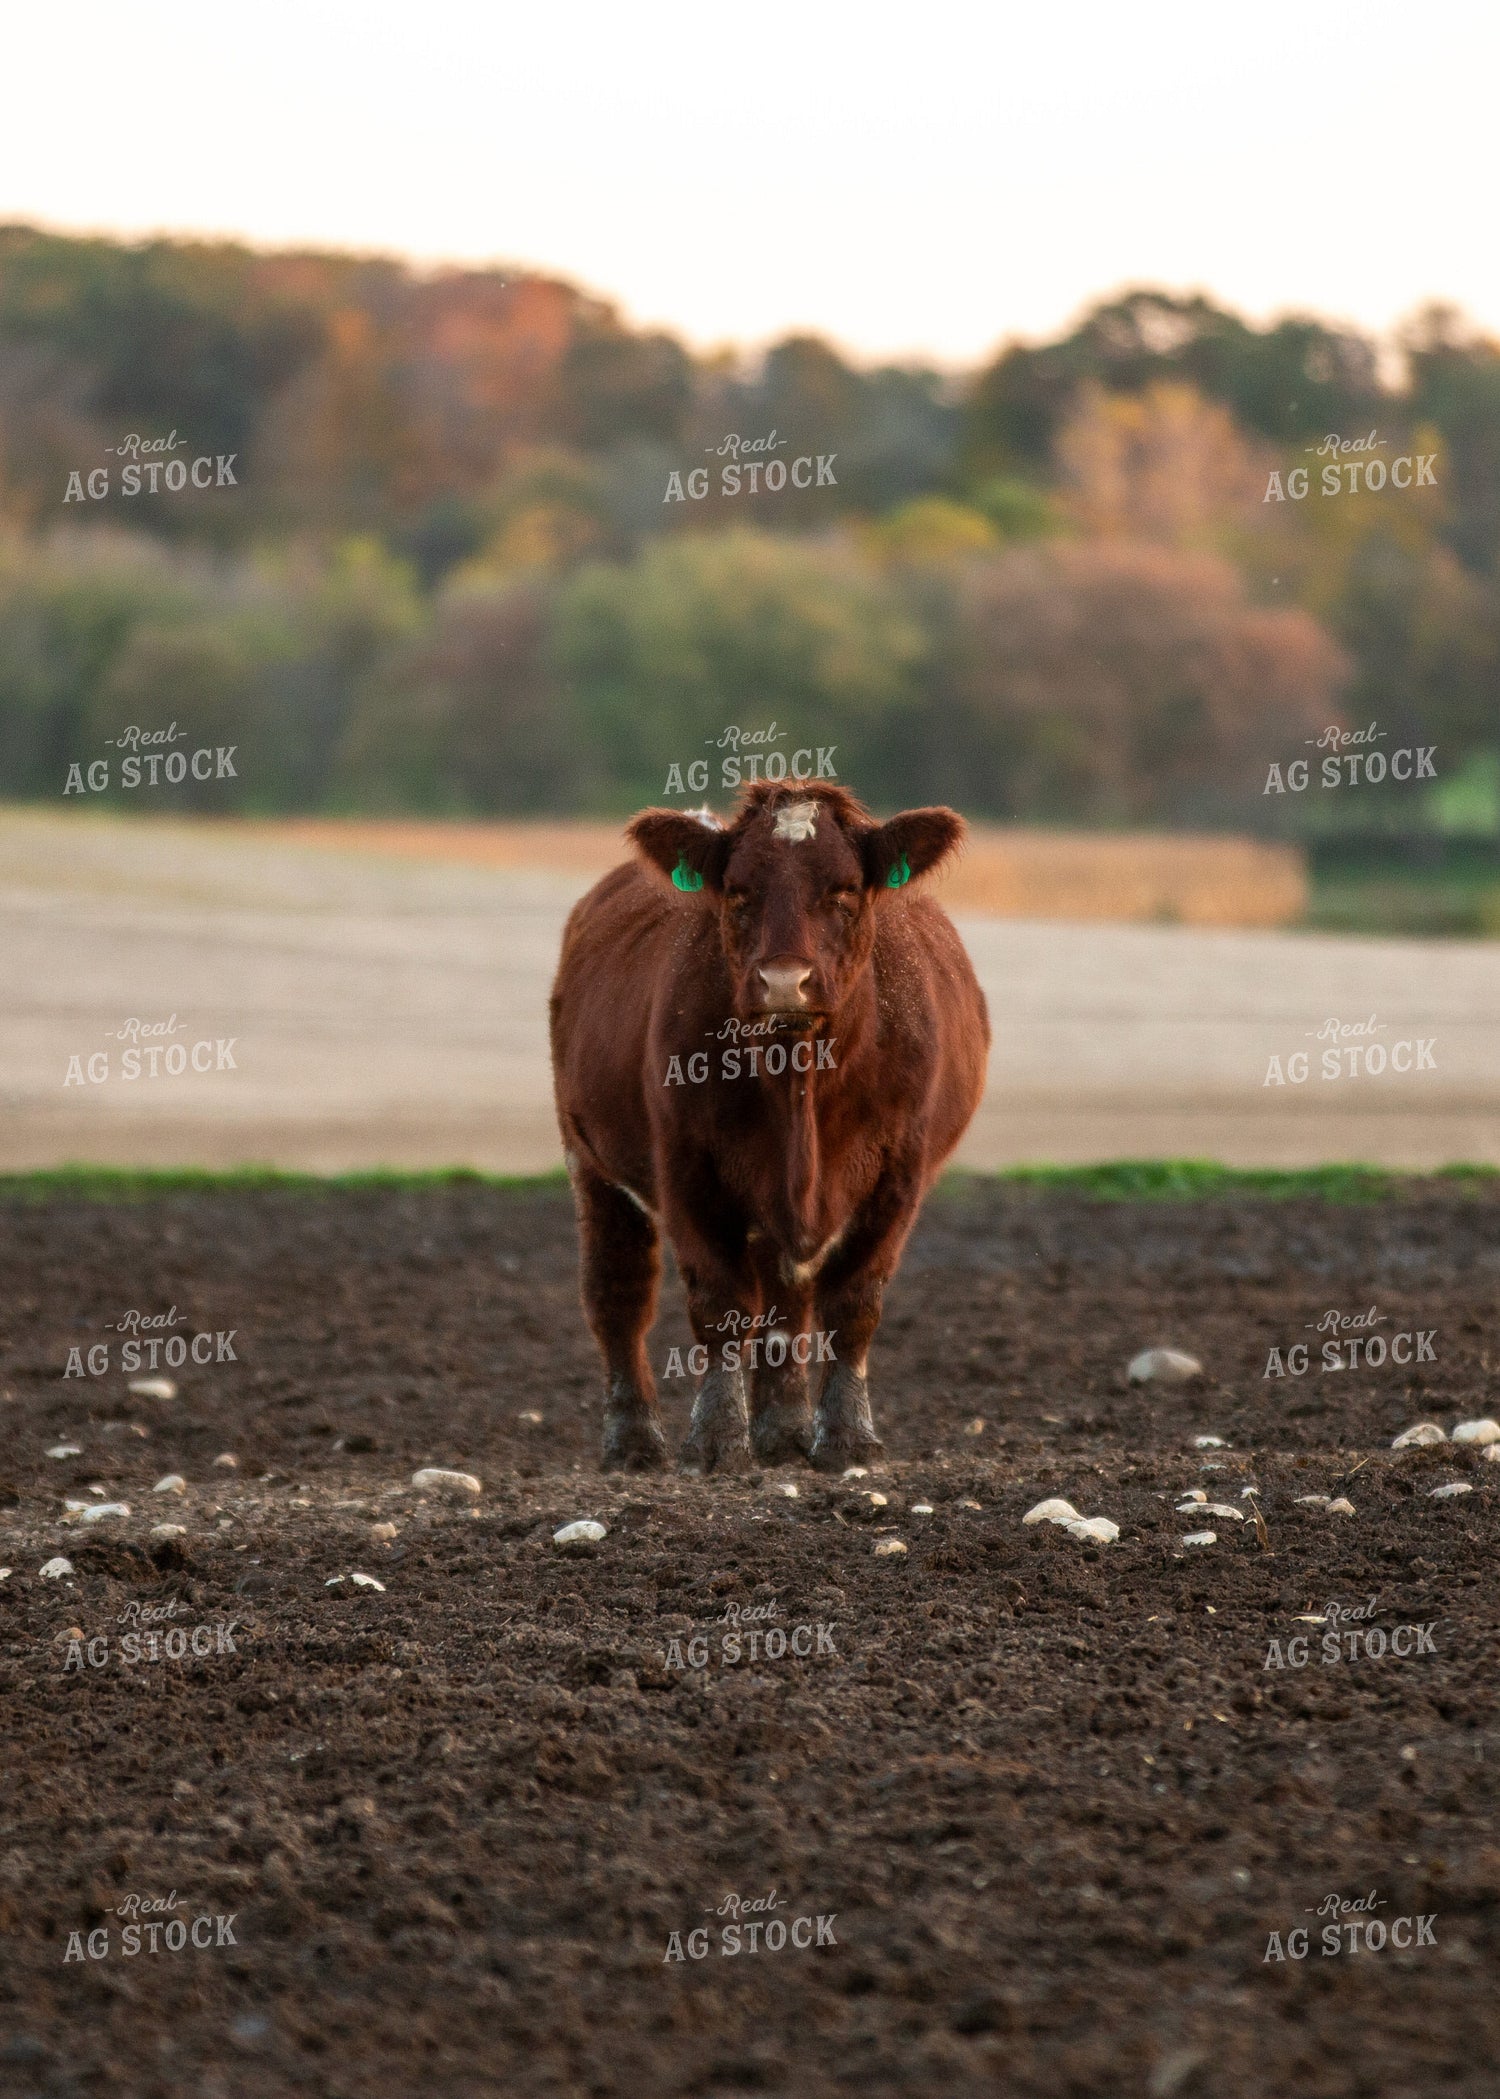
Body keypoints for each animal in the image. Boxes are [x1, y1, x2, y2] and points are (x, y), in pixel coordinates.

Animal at [549, 778, 989, 1475]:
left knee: (786, 1301)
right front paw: (716, 1440)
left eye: (844, 889)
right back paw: (634, 1441)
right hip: (589, 1160)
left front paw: (845, 1438)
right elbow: (721, 1306)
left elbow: (852, 1303)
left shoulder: (899, 1174)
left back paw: (782, 1432)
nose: (785, 981)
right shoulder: (687, 1169)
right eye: (738, 891)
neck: (797, 1080)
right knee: (618, 1293)